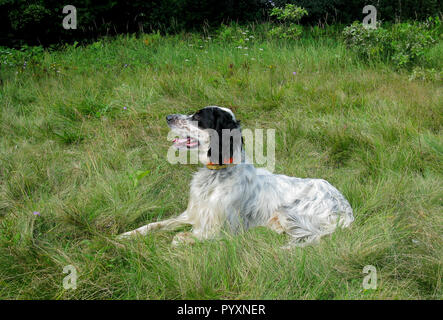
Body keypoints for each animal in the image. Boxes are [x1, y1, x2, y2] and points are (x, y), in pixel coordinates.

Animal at [119, 106, 356, 246]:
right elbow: (154, 224)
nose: (168, 117)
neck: (216, 176)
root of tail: (346, 209)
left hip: (288, 211)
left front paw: (182, 238)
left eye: (198, 117)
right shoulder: (192, 214)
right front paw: (126, 235)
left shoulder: (223, 229)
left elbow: (180, 237)